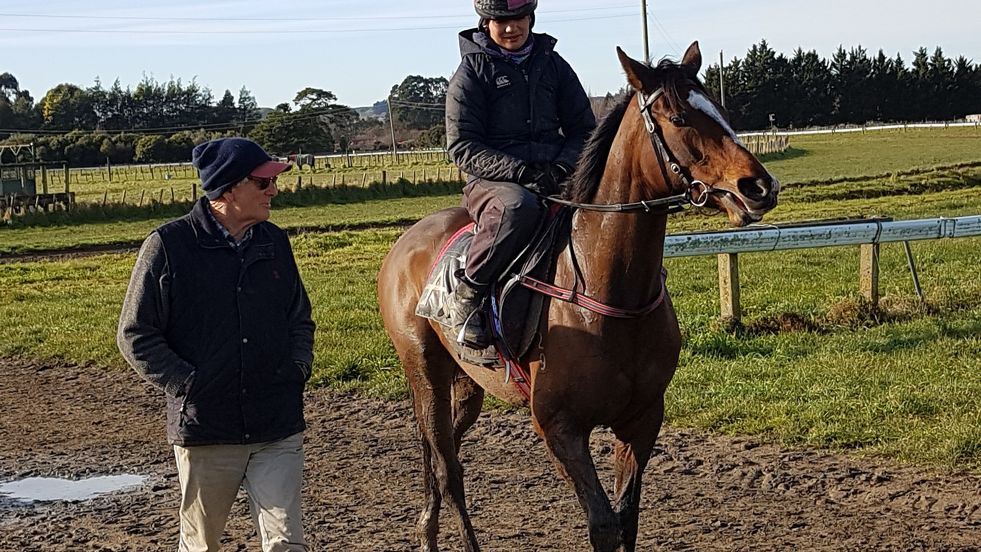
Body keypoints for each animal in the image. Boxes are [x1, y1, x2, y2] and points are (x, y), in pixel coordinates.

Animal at [376, 43, 780, 552]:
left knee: (438, 454)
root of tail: (404, 243)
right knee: (448, 471)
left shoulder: (641, 420)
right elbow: (603, 524)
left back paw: (425, 530)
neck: (609, 292)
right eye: (679, 117)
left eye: (721, 112)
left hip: (466, 385)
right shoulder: (560, 428)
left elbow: (626, 520)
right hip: (424, 370)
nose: (759, 186)